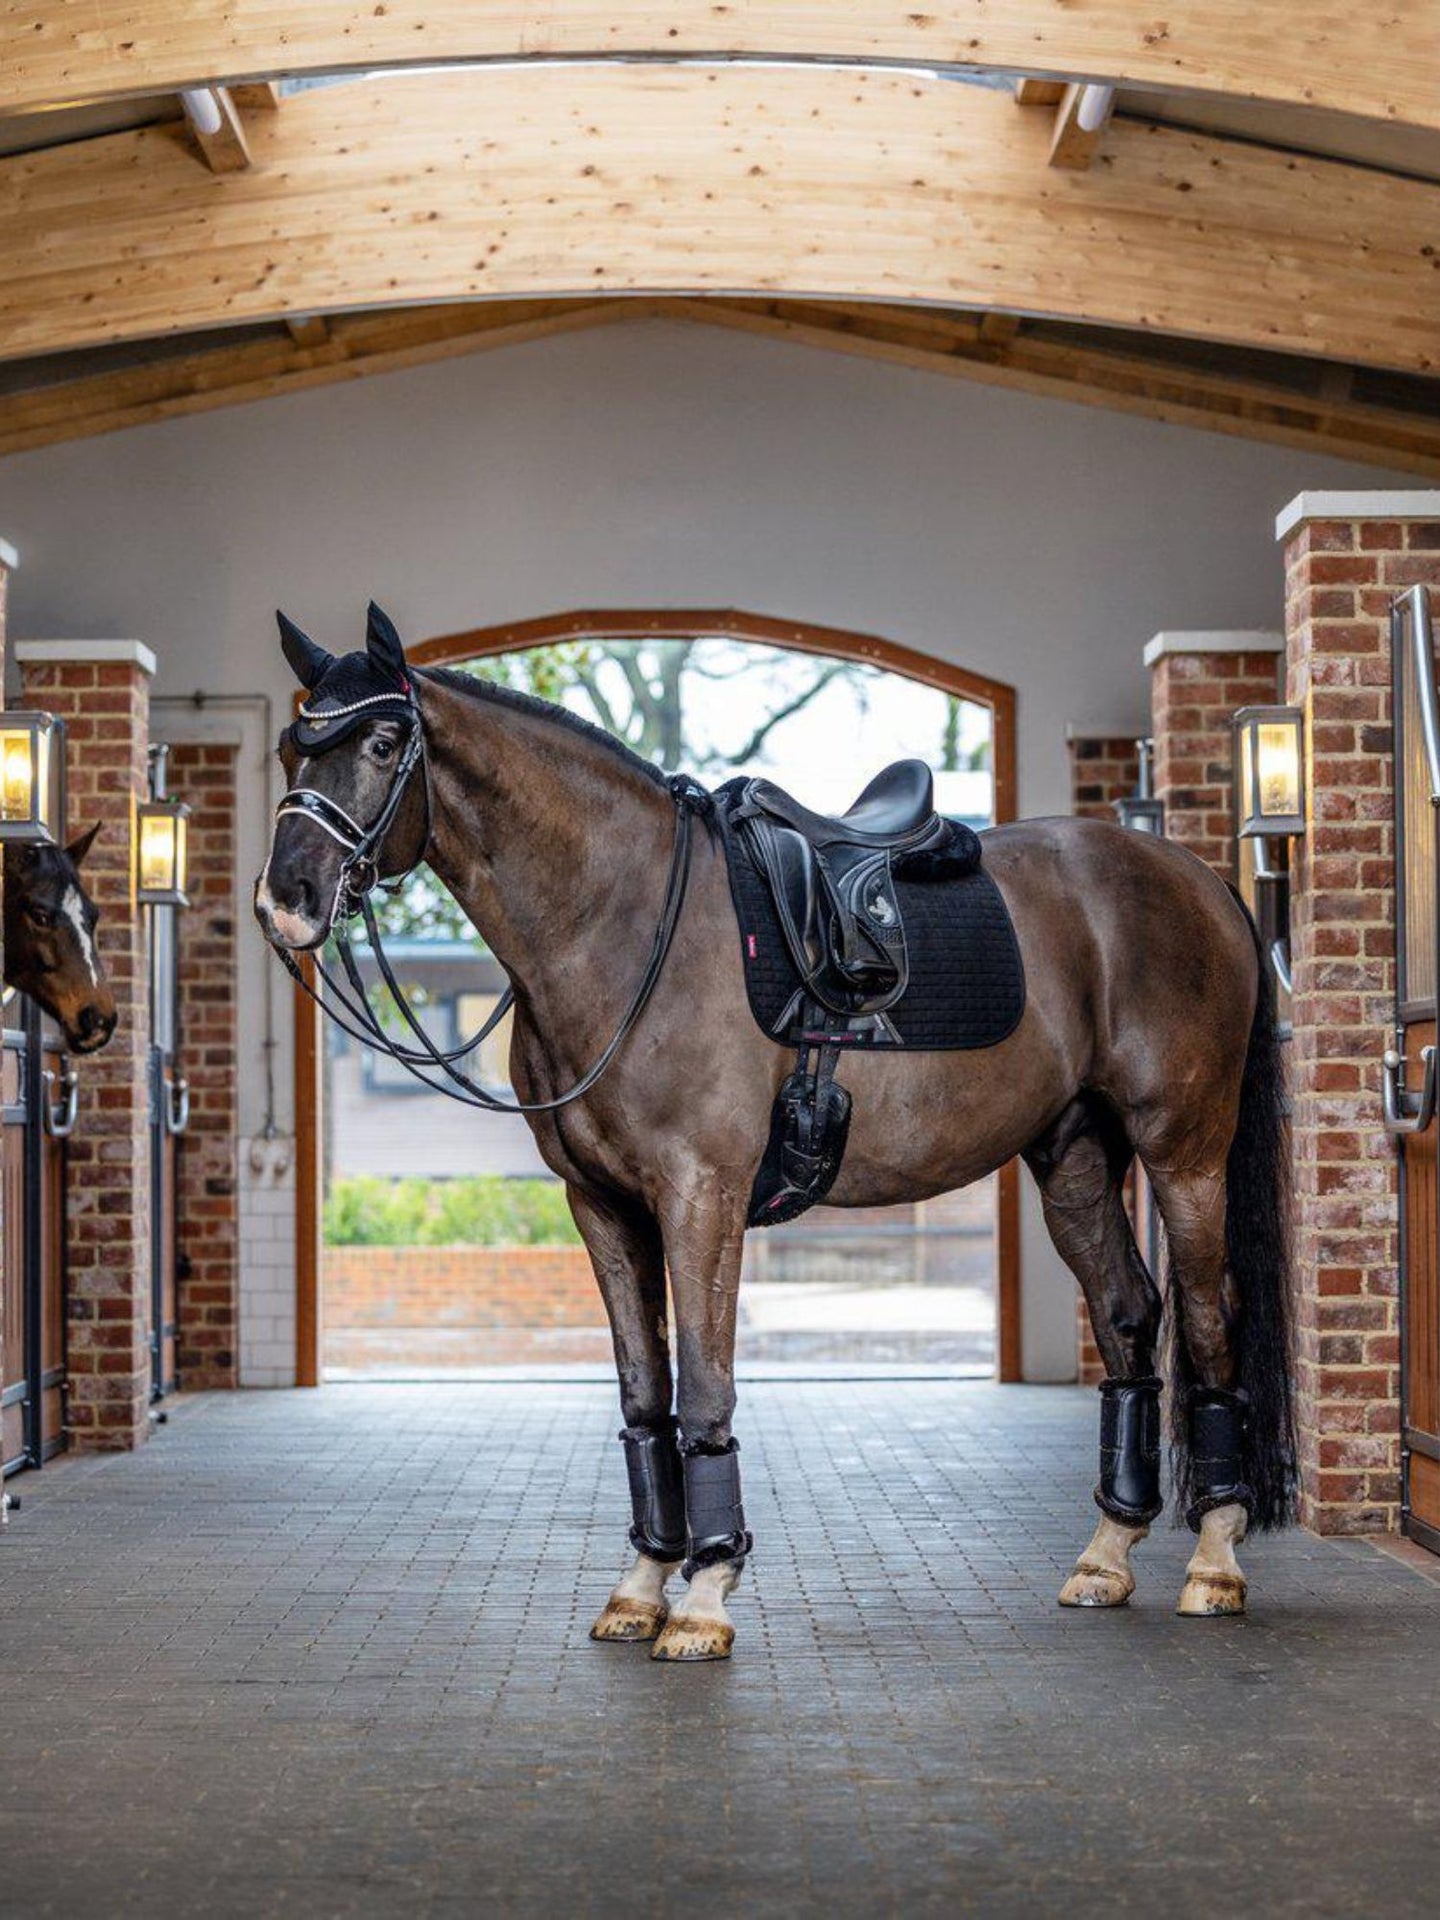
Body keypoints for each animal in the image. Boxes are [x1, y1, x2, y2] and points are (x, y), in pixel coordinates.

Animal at [257, 606, 1297, 1658]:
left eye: (381, 744)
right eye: (290, 746)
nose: (284, 901)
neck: (624, 920)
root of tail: (1197, 878)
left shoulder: (701, 1195)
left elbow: (705, 1387)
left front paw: (705, 1597)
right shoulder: (602, 1206)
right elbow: (646, 1396)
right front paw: (641, 1586)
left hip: (1184, 1148)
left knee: (1209, 1317)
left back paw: (1215, 1561)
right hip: (1076, 1157)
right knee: (1128, 1315)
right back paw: (1106, 1557)